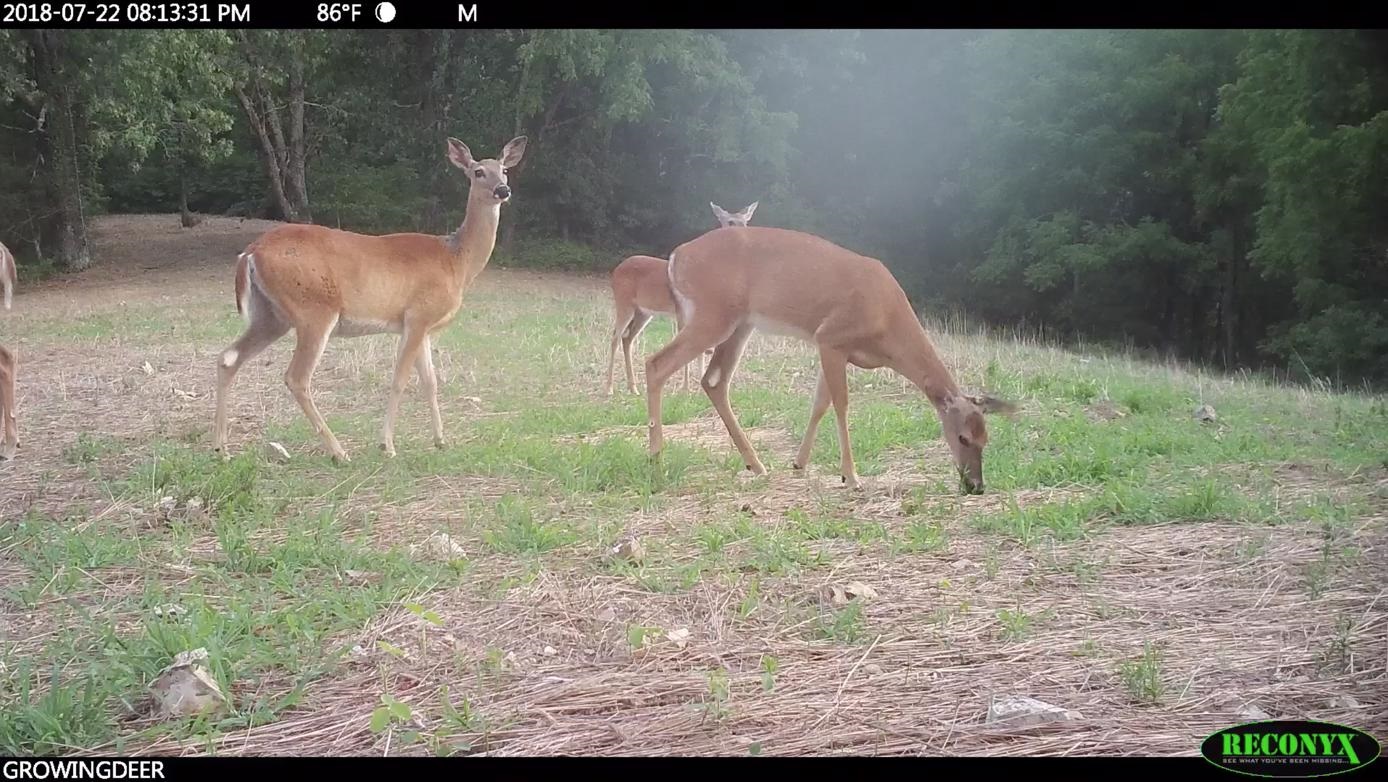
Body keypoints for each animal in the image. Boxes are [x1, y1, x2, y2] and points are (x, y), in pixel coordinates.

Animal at [209, 134, 524, 463]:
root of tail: (251, 251)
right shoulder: (417, 315)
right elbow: (400, 379)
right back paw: (339, 451)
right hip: (313, 309)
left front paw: (440, 441)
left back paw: (221, 448)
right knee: (296, 377)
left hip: (270, 315)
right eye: (478, 172)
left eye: (504, 170)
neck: (456, 261)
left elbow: (430, 382)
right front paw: (387, 445)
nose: (503, 190)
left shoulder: (421, 326)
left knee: (228, 357)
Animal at [602, 200, 760, 397]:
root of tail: (616, 270)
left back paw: (634, 388)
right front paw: (685, 388)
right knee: (615, 337)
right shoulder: (680, 311)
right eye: (730, 222)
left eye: (746, 221)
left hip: (643, 312)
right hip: (623, 302)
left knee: (627, 338)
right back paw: (609, 388)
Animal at [644, 226, 1016, 494]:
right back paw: (657, 460)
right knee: (657, 363)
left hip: (740, 323)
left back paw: (756, 464)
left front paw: (799, 464)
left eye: (986, 438)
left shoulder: (838, 349)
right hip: (713, 313)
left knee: (714, 380)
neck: (887, 322)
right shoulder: (831, 338)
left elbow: (820, 403)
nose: (976, 486)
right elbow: (841, 404)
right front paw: (850, 476)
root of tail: (677, 256)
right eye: (962, 437)